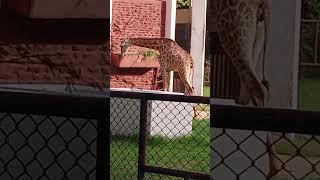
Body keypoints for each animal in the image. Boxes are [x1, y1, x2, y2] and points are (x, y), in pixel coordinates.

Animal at [212, 0, 292, 179]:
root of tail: (262, 3)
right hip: (256, 32)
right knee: (255, 88)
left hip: (233, 27)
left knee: (256, 88)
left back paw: (272, 168)